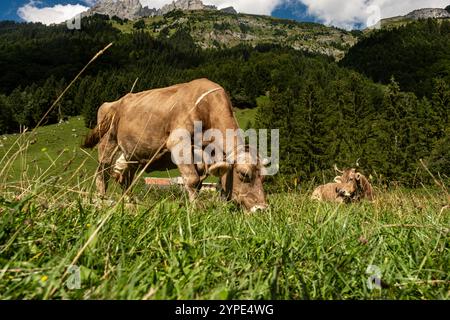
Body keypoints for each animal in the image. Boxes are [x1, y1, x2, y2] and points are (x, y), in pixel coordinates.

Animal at [82, 78, 268, 212]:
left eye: (264, 178)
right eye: (243, 174)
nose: (261, 209)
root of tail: (114, 102)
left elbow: (201, 183)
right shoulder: (179, 142)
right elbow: (192, 180)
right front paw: (196, 210)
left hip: (133, 153)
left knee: (125, 178)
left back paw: (130, 204)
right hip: (108, 141)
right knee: (103, 171)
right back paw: (102, 201)